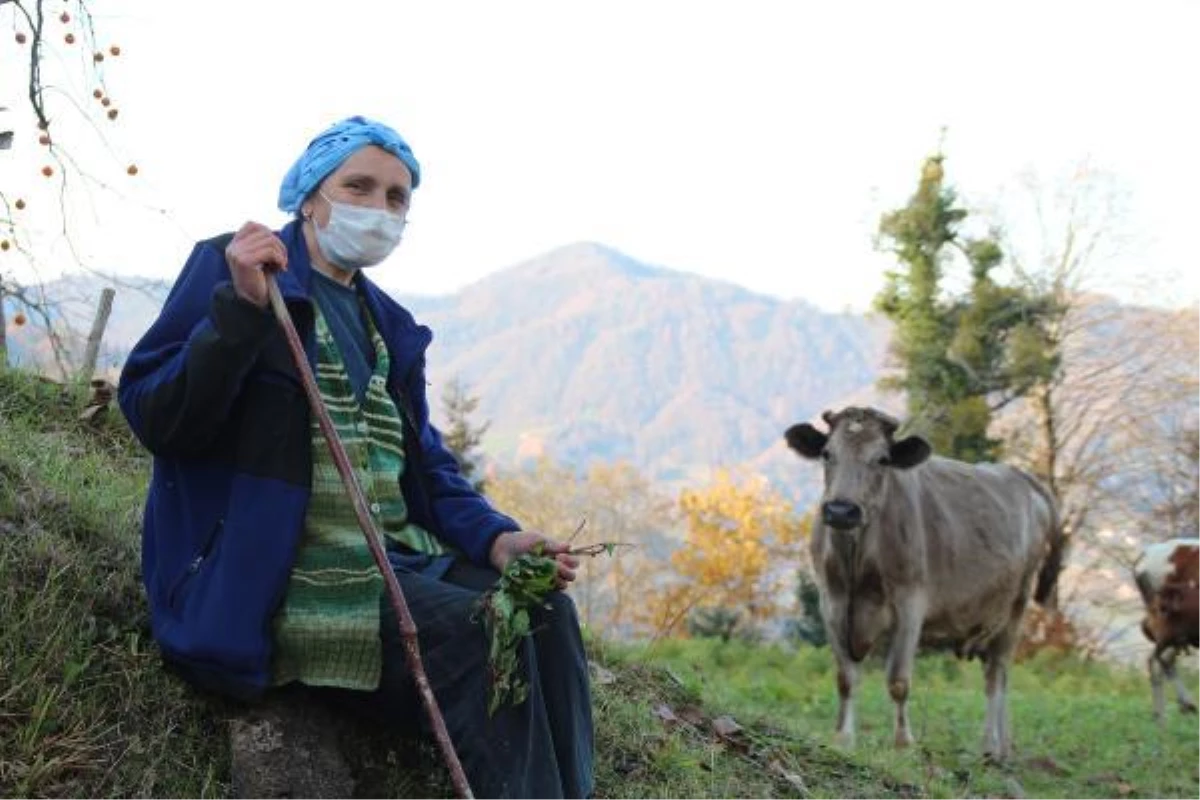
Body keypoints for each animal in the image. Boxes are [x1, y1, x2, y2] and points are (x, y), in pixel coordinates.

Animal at [787, 407, 1070, 762]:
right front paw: (843, 739)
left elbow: (898, 680)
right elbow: (846, 677)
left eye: (882, 459)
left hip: (1015, 606)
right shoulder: (832, 602)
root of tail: (1020, 476)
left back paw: (991, 746)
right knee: (995, 671)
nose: (841, 510)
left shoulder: (910, 603)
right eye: (827, 453)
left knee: (998, 674)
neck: (859, 562)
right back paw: (1003, 746)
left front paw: (902, 743)